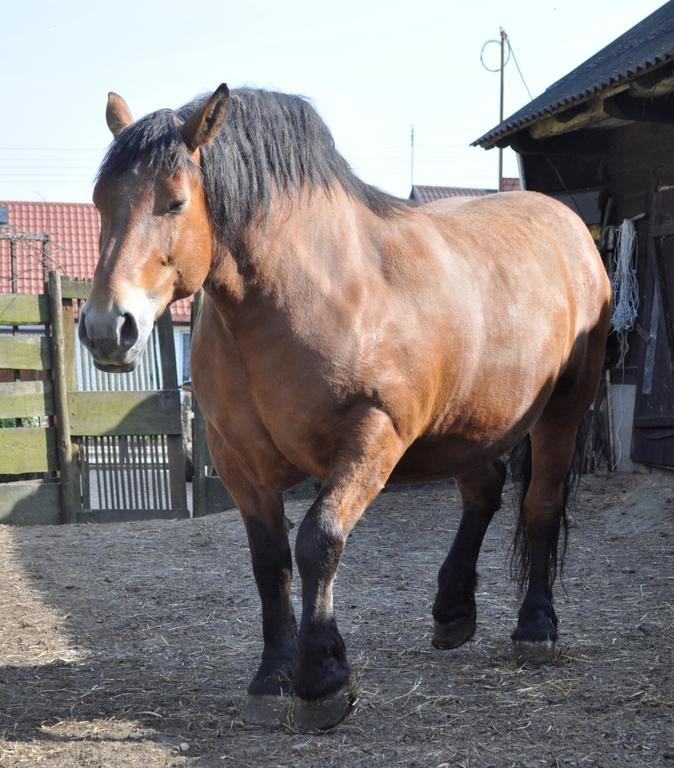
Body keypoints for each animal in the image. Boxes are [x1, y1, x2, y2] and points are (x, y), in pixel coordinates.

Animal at [77, 85, 608, 732]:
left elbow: (318, 542)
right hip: (469, 423)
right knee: (484, 492)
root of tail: (570, 227)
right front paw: (272, 677)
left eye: (175, 201)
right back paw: (453, 610)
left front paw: (322, 680)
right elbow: (269, 560)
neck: (310, 292)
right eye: (100, 203)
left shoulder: (371, 437)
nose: (108, 329)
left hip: (562, 412)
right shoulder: (238, 460)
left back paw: (535, 628)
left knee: (540, 505)